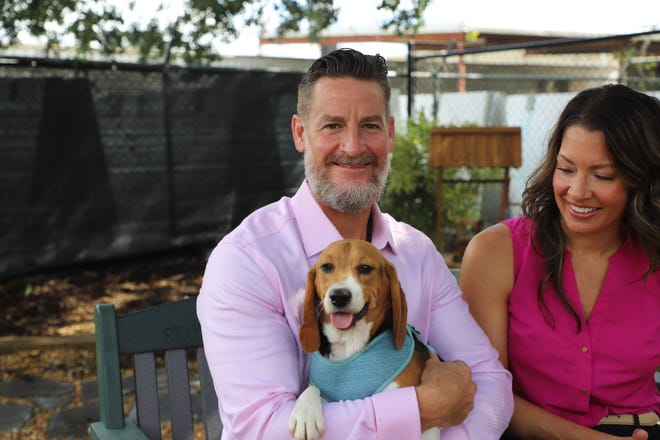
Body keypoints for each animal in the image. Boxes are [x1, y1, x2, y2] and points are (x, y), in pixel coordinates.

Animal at [290, 241, 440, 440]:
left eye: (365, 268)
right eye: (327, 267)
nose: (339, 296)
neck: (348, 343)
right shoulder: (316, 386)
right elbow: (311, 389)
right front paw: (305, 414)